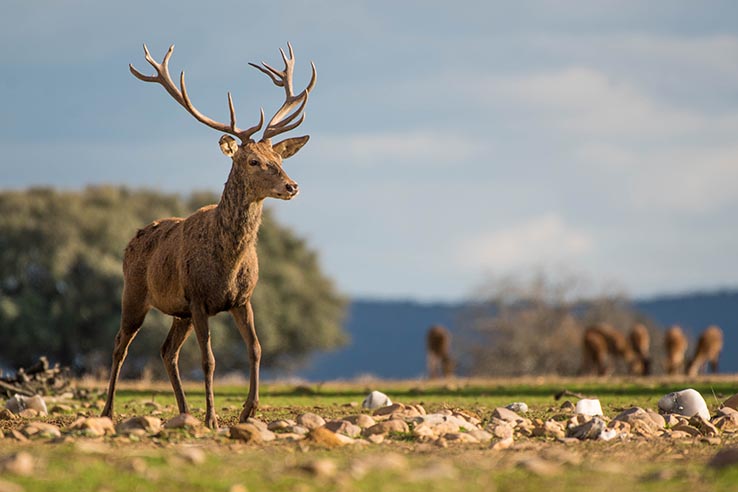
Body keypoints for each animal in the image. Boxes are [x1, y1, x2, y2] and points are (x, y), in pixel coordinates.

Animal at [100, 42, 317, 429]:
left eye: (278, 157)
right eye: (253, 161)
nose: (292, 186)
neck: (227, 263)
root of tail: (132, 239)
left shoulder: (242, 299)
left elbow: (256, 349)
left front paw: (248, 410)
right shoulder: (199, 298)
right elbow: (209, 360)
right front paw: (213, 418)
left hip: (179, 312)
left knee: (166, 351)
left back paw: (184, 411)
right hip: (135, 294)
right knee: (120, 344)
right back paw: (108, 411)